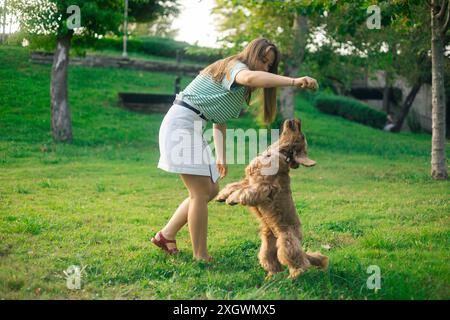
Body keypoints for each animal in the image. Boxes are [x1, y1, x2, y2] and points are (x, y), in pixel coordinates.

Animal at [216, 119, 328, 278]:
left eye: (302, 136)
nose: (297, 120)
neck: (277, 153)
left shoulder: (263, 187)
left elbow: (244, 191)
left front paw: (232, 199)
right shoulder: (248, 180)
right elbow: (235, 185)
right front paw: (222, 195)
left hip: (287, 243)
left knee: (301, 263)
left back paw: (292, 277)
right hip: (267, 249)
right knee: (274, 265)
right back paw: (270, 278)